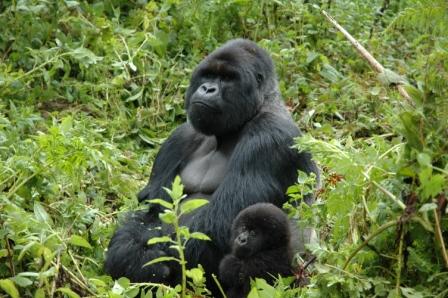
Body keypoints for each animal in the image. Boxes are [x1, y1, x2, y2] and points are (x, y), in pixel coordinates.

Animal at [104, 39, 318, 288]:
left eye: (228, 78)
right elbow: (151, 210)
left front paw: (141, 259)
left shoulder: (270, 138)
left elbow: (222, 225)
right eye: (208, 76)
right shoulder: (179, 138)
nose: (207, 89)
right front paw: (126, 253)